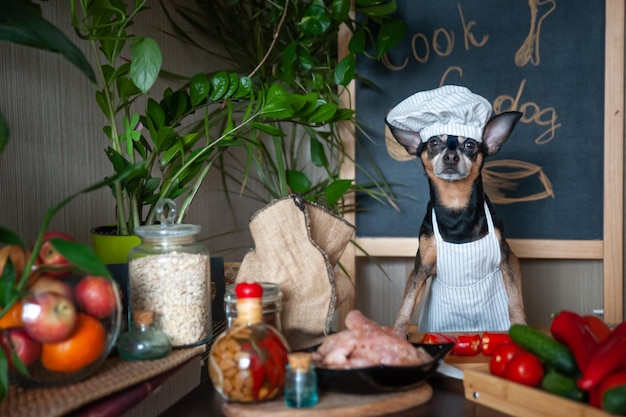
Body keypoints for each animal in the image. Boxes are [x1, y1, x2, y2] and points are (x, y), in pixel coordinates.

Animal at [386, 85, 528, 334]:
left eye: (469, 144)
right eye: (434, 143)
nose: (451, 156)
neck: (455, 205)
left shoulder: (508, 260)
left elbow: (515, 300)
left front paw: (521, 328)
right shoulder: (421, 268)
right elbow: (407, 303)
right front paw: (397, 333)